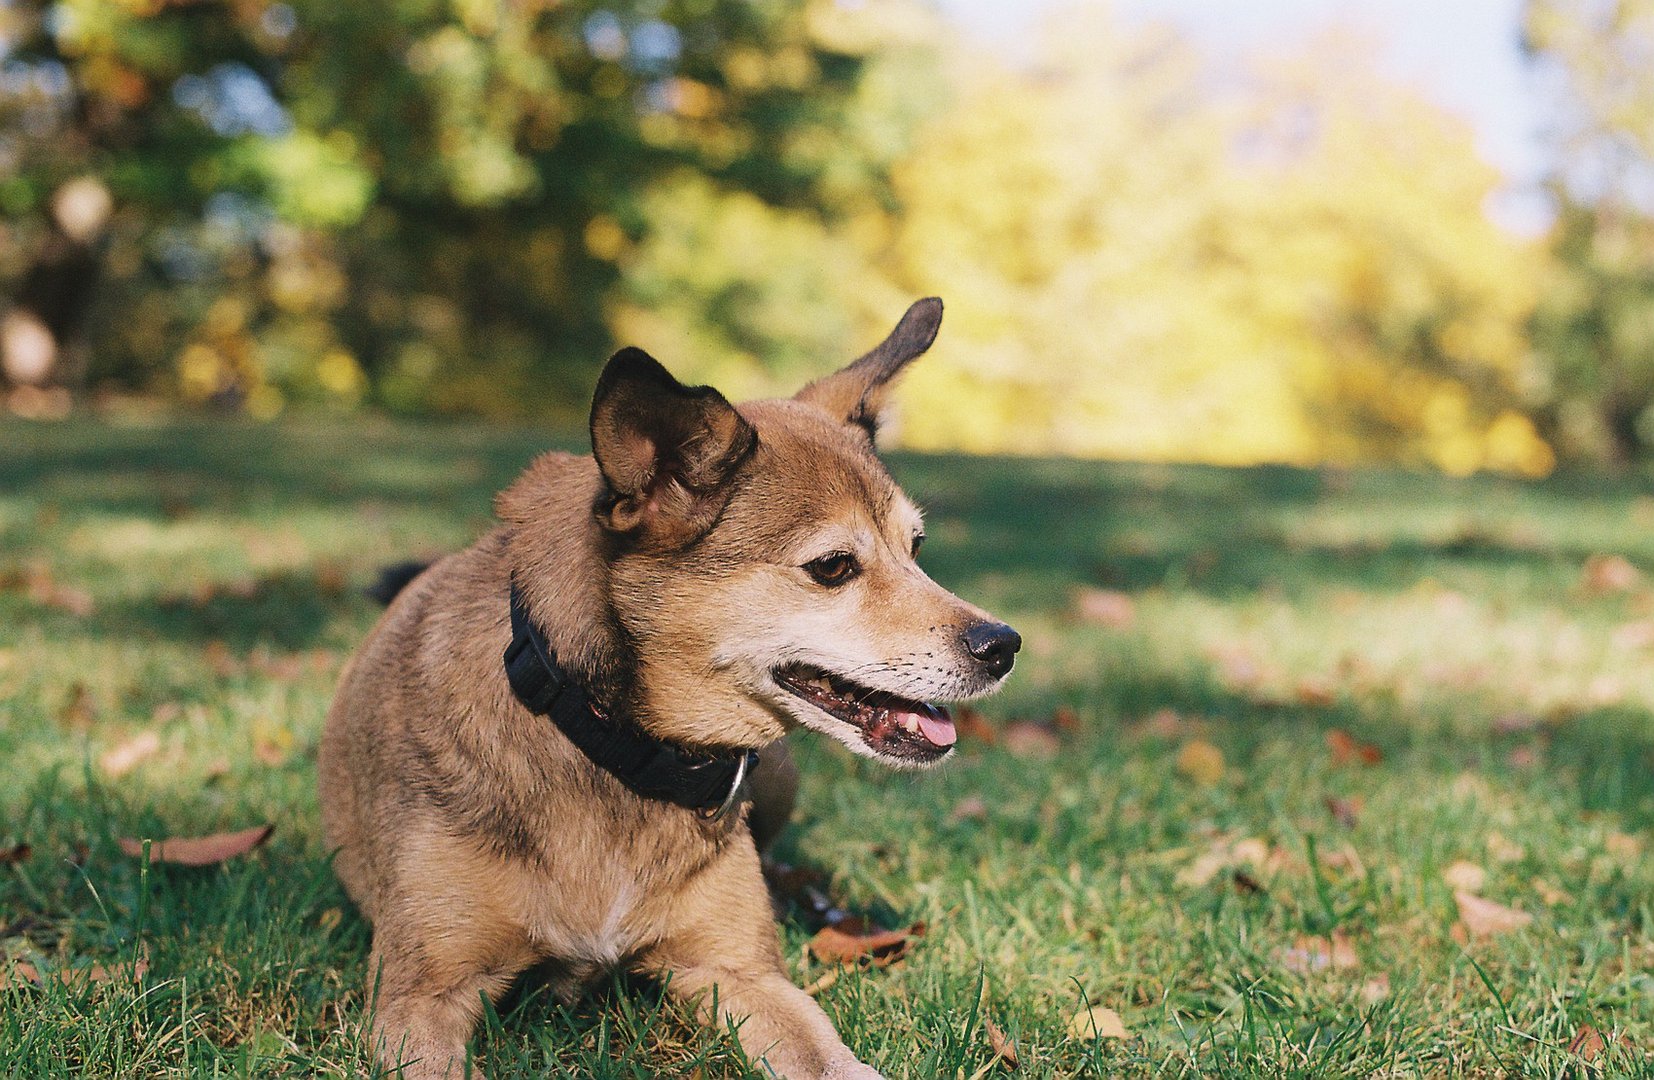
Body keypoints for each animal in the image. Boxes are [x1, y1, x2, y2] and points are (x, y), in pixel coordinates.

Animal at [317, 297, 1018, 1078]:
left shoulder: (739, 972)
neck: (609, 741)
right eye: (833, 567)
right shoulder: (422, 994)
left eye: (916, 548)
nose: (1002, 645)